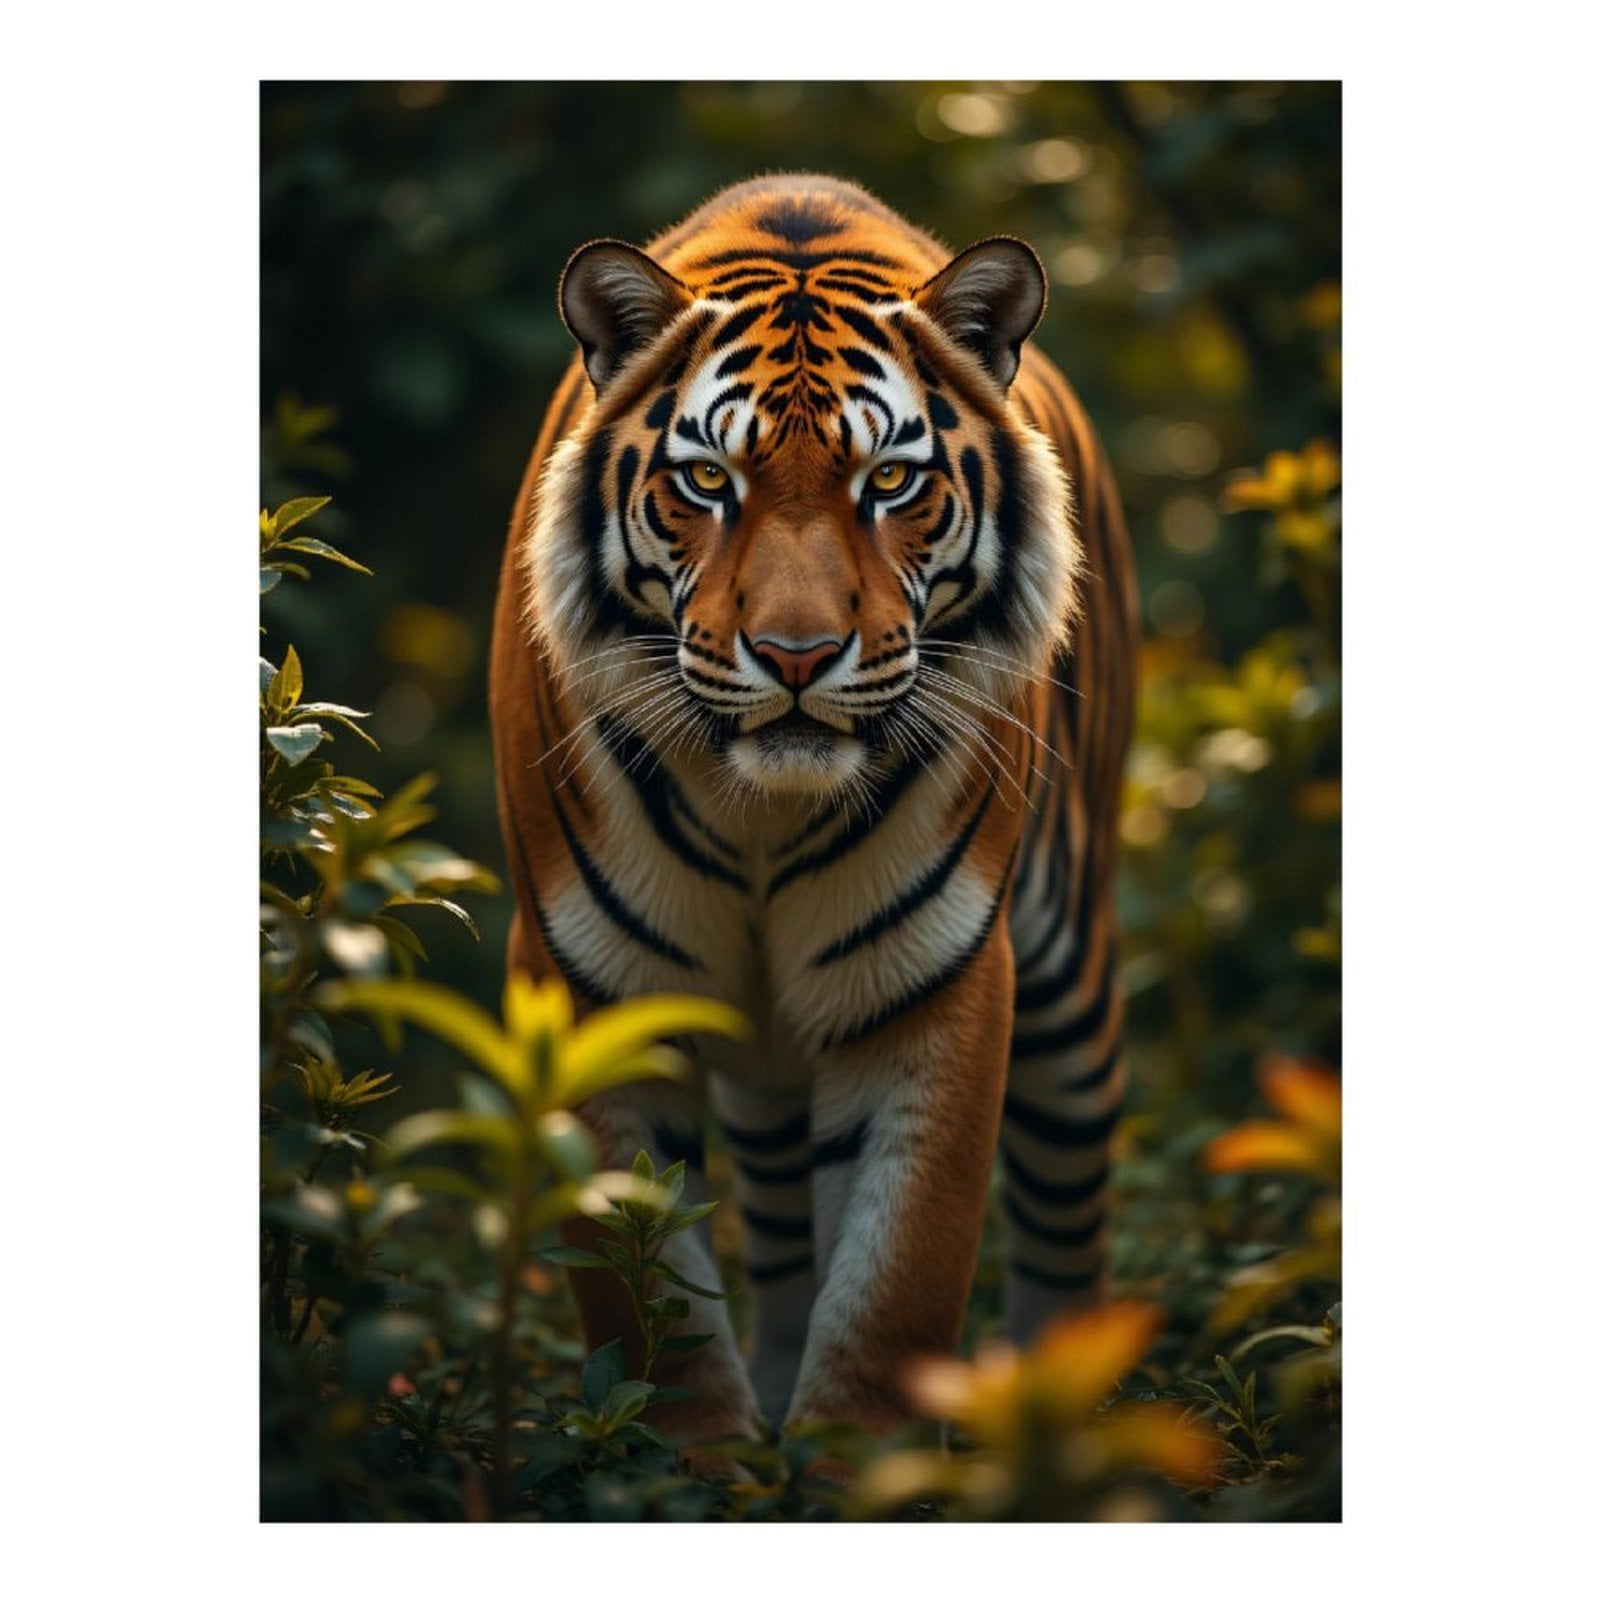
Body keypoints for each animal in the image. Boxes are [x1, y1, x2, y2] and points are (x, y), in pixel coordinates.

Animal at [489, 173, 1138, 1450]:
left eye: (888, 481)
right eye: (708, 482)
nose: (795, 656)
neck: (760, 816)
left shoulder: (933, 985)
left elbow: (896, 1289)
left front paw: (853, 1464)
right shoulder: (584, 981)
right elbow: (650, 1305)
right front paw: (695, 1467)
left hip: (1070, 999)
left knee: (1063, 1224)